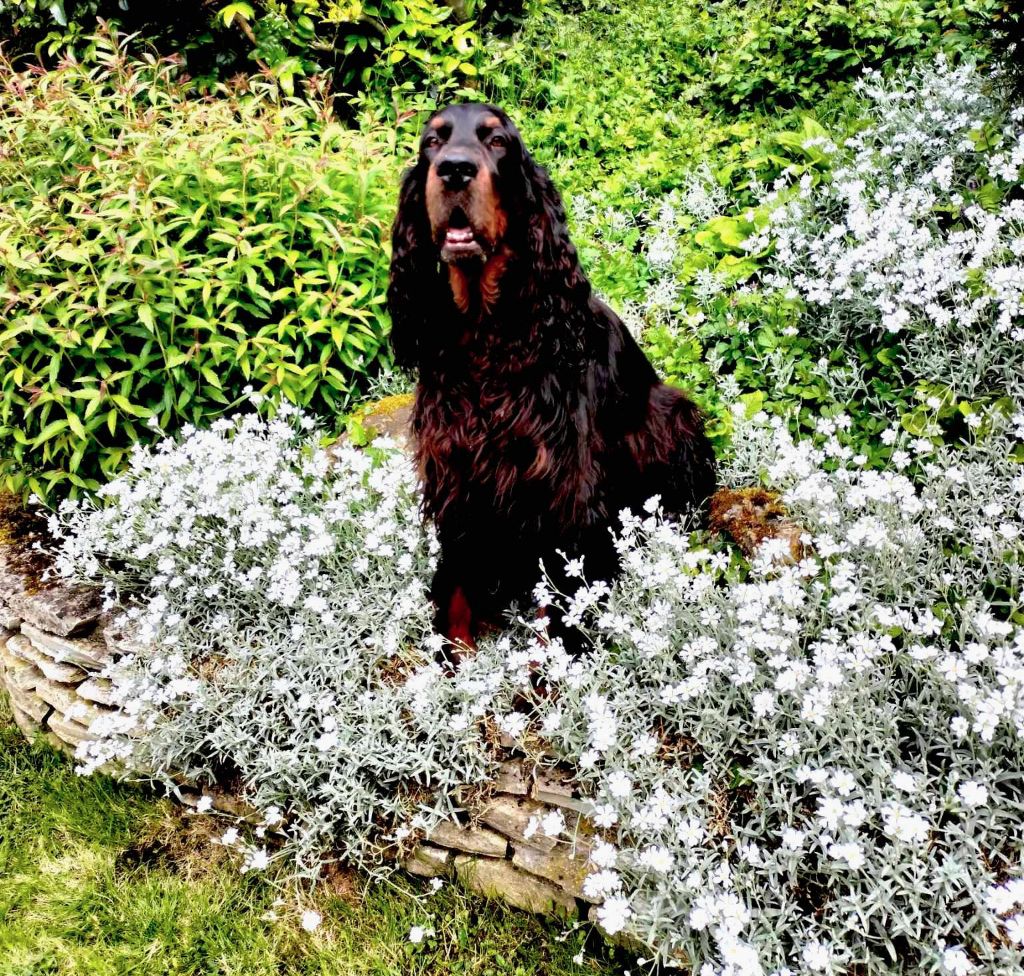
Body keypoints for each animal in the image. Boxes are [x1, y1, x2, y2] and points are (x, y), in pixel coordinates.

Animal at [387, 102, 716, 659]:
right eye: (432, 141)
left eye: (497, 141)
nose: (454, 169)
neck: (488, 333)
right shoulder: (457, 470)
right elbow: (456, 584)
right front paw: (452, 660)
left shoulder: (564, 486)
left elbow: (561, 600)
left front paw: (551, 671)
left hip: (673, 417)